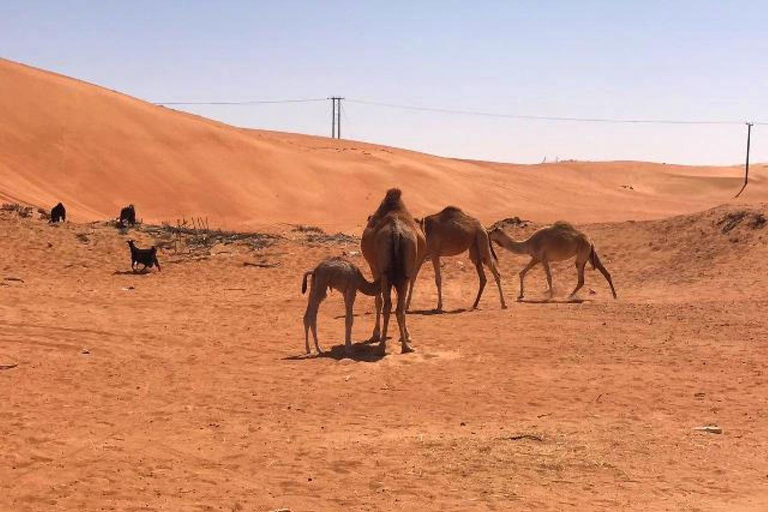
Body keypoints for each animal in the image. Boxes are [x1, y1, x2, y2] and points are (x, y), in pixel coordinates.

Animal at [360, 188, 426, 352]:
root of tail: (396, 231)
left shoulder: (375, 269)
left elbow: (378, 300)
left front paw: (375, 334)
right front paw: (407, 335)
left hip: (385, 274)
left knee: (387, 305)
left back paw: (382, 345)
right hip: (404, 274)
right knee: (399, 307)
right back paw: (406, 346)